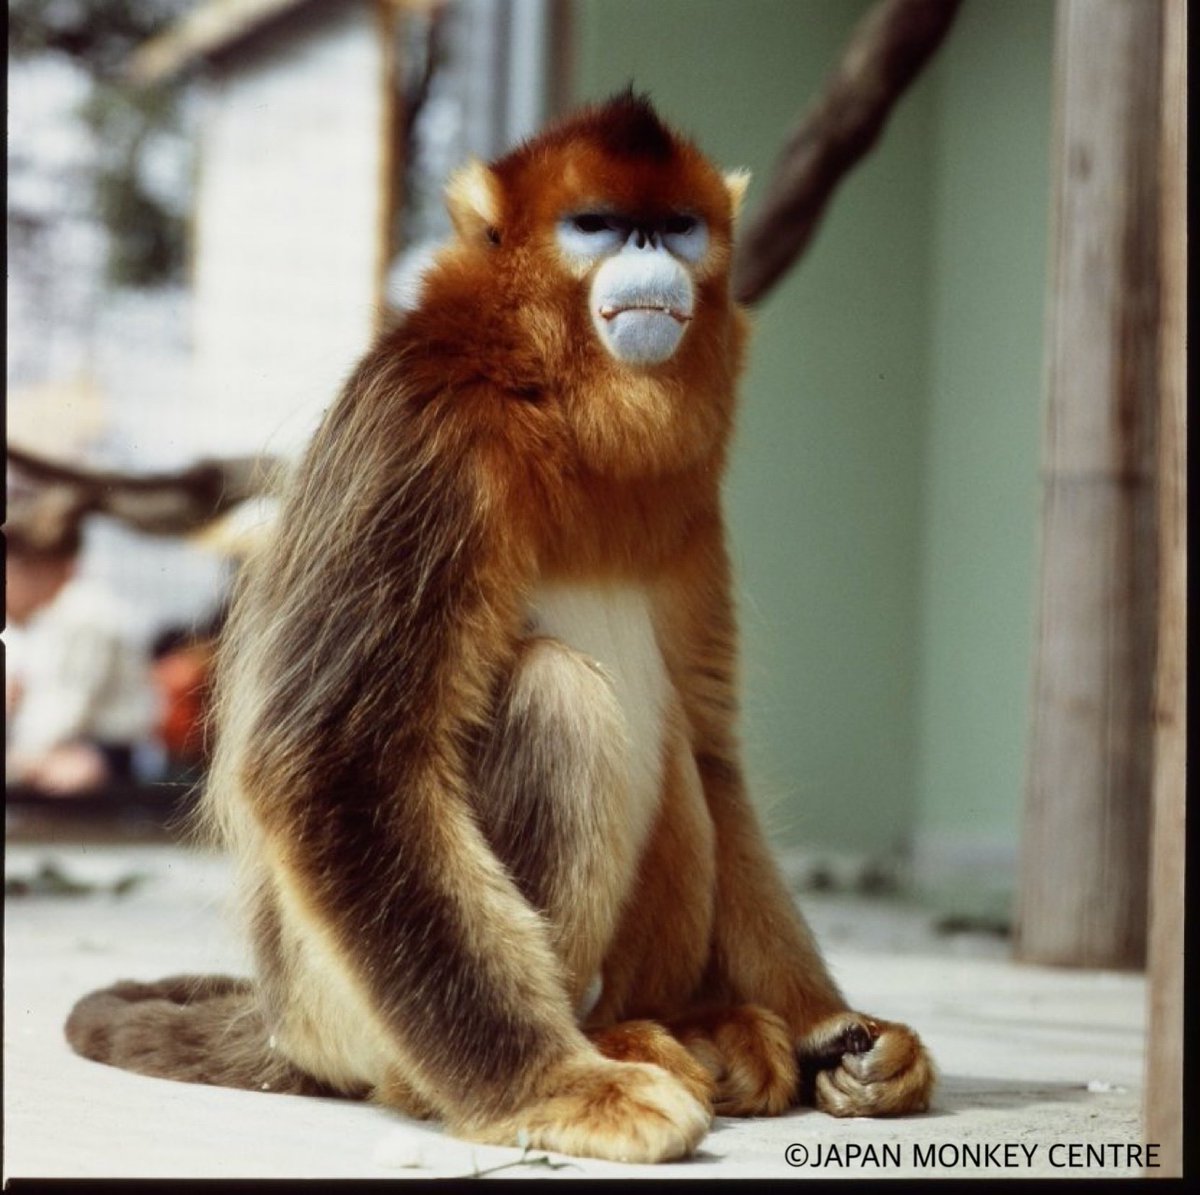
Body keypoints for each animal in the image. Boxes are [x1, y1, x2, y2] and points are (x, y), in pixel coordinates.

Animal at [65, 93, 934, 1165]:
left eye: (675, 226)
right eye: (599, 225)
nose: (648, 251)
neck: (548, 393)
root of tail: (281, 1021)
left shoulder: (691, 507)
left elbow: (716, 753)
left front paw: (837, 1034)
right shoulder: (428, 429)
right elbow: (337, 762)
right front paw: (559, 1086)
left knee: (682, 758)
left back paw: (688, 1023)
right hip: (340, 1002)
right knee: (557, 695)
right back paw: (600, 1048)